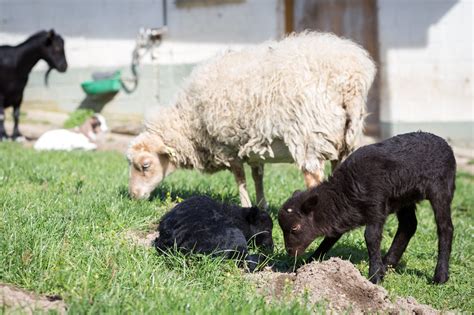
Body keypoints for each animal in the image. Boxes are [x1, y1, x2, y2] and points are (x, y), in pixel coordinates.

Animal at [125, 32, 374, 207]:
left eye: (145, 165)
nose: (134, 196)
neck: (190, 121)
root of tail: (351, 78)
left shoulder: (226, 146)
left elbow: (240, 178)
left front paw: (245, 205)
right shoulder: (254, 144)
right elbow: (257, 176)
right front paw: (262, 205)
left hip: (310, 135)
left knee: (314, 177)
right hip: (343, 136)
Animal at [278, 132, 456, 286]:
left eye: (295, 227)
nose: (289, 251)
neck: (345, 190)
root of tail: (443, 142)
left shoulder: (376, 204)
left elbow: (371, 237)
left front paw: (375, 277)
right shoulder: (343, 215)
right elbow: (329, 239)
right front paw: (307, 264)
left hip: (440, 187)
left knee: (445, 228)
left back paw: (440, 276)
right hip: (404, 197)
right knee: (408, 225)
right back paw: (388, 264)